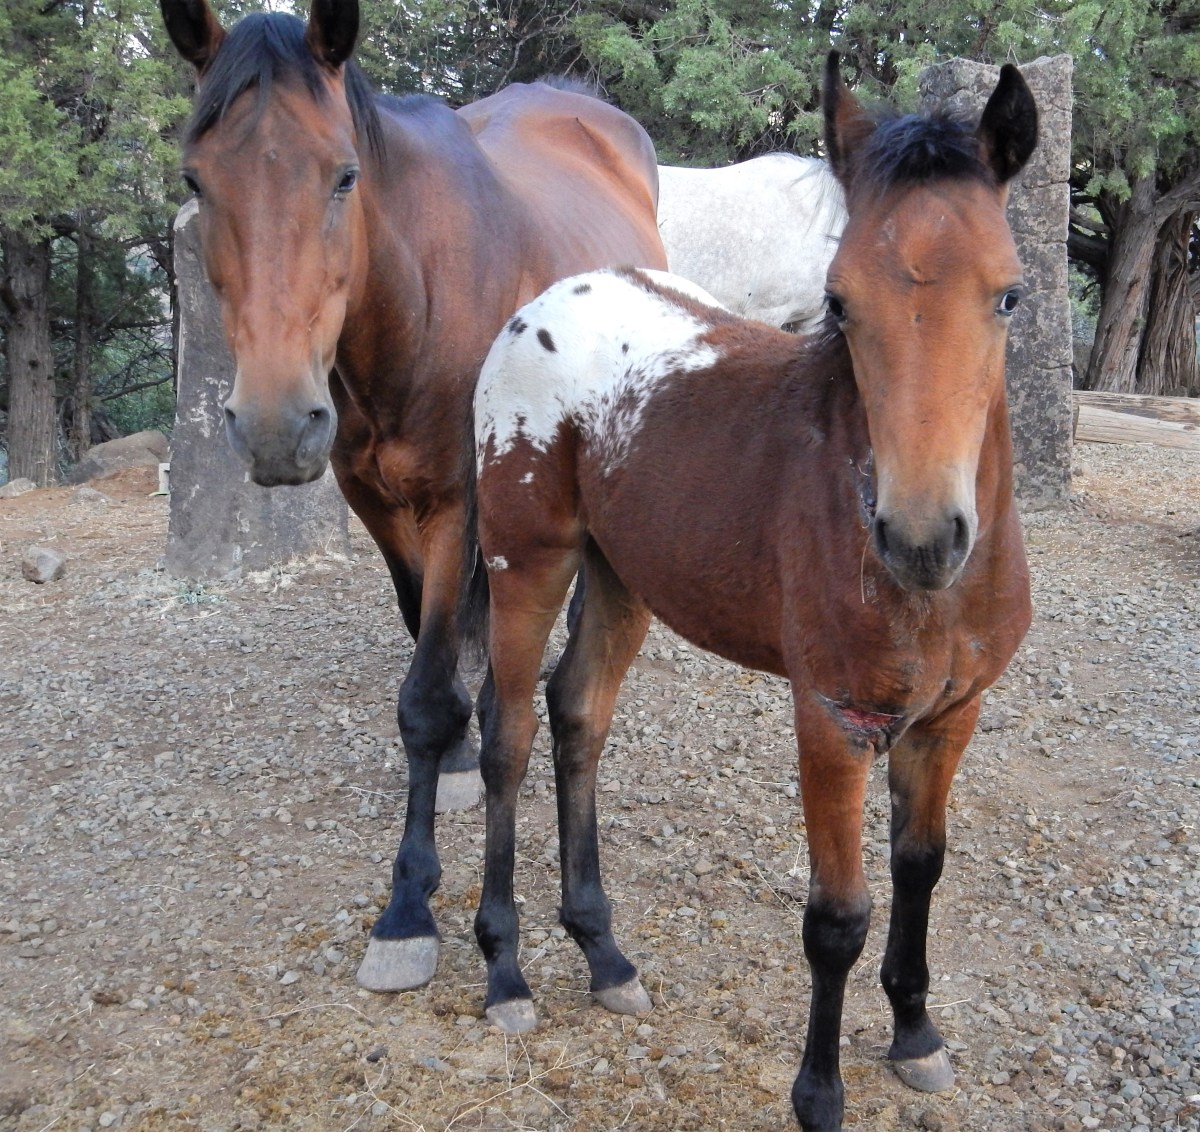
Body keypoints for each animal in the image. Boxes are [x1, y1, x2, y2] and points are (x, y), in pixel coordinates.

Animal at [159, 0, 666, 995]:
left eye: (344, 174)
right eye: (197, 178)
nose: (274, 423)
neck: (414, 295)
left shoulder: (457, 505)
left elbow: (426, 696)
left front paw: (407, 909)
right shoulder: (375, 503)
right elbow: (427, 670)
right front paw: (460, 761)